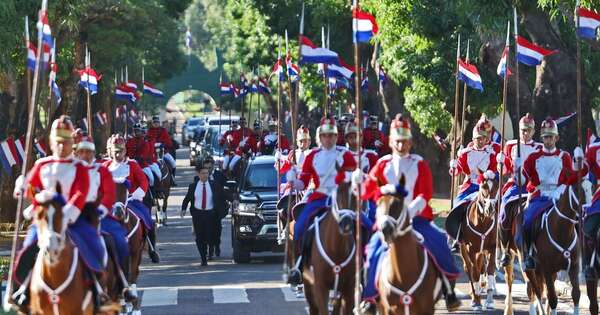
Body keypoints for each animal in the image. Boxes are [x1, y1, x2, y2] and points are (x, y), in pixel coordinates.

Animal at [302, 180, 358, 315]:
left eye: (356, 194)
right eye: (337, 194)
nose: (346, 225)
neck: (336, 249)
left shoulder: (349, 288)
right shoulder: (320, 286)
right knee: (313, 308)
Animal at [378, 178, 442, 315]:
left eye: (397, 204)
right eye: (378, 204)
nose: (386, 230)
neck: (404, 274)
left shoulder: (427, 309)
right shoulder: (388, 309)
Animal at [460, 173, 496, 312]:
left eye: (497, 186)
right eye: (483, 186)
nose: (490, 209)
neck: (482, 221)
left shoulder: (491, 248)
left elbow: (490, 270)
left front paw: (489, 302)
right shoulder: (470, 249)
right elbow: (474, 272)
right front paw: (477, 302)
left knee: (480, 267)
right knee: (469, 268)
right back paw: (475, 296)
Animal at [516, 184, 580, 314]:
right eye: (577, 189)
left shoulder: (573, 266)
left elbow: (576, 294)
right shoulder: (547, 269)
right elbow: (552, 298)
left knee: (540, 290)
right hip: (529, 268)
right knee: (535, 291)